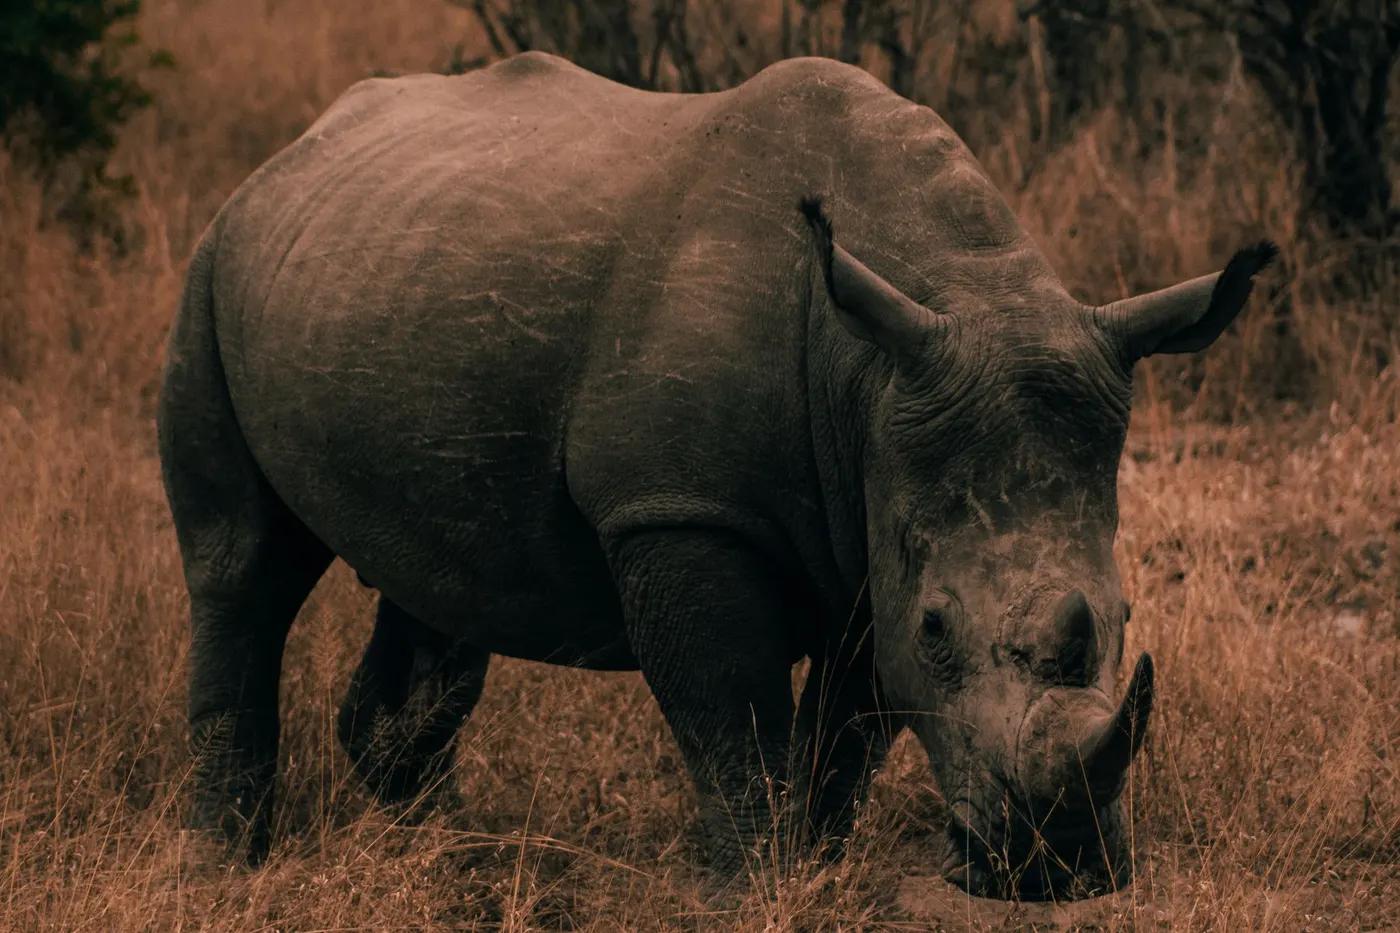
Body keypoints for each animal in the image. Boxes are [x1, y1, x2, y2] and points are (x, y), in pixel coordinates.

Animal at [159, 51, 1273, 899]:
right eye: (938, 629)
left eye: (1125, 617)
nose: (1054, 872)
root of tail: (291, 152)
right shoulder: (681, 510)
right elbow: (731, 716)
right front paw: (752, 891)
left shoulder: (872, 528)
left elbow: (846, 732)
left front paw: (815, 876)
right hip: (211, 265)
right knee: (241, 566)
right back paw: (224, 863)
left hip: (384, 270)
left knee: (439, 582)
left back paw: (449, 859)